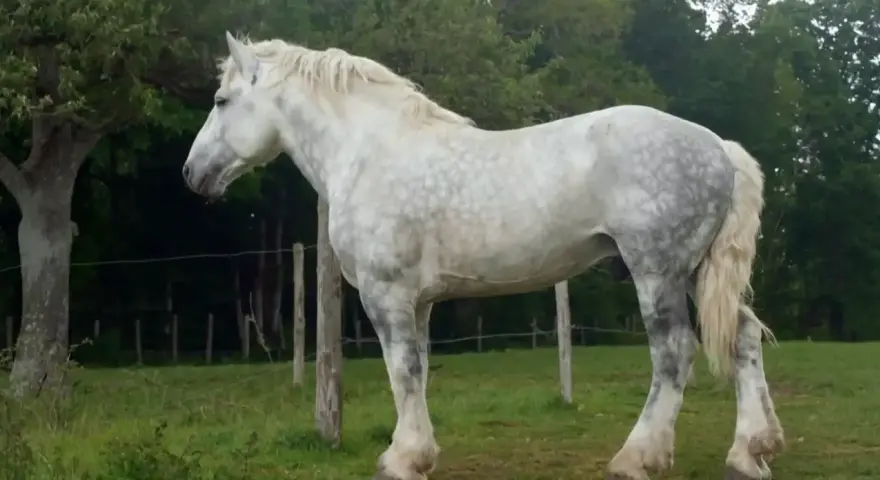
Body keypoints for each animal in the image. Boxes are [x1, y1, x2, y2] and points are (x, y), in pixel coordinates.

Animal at [182, 32, 785, 480]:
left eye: (221, 102)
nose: (192, 173)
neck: (369, 151)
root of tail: (719, 148)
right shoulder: (419, 302)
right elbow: (417, 371)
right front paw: (415, 453)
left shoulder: (386, 294)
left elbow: (401, 370)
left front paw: (403, 459)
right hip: (696, 272)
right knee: (744, 338)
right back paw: (750, 452)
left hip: (657, 272)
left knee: (674, 352)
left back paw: (637, 457)